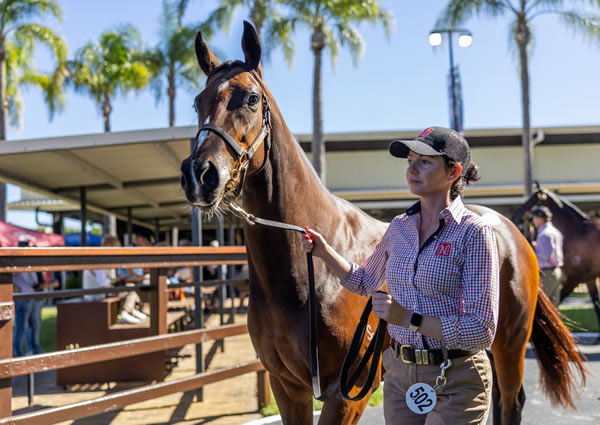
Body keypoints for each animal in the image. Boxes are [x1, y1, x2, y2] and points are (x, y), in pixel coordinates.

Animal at [179, 22, 584, 424]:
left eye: (250, 98)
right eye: (197, 102)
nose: (200, 174)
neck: (307, 275)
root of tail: (512, 232)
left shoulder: (349, 391)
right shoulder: (287, 387)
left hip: (509, 344)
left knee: (510, 401)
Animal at [508, 184, 600, 332]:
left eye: (532, 200)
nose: (514, 216)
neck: (576, 231)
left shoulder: (574, 278)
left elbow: (557, 303)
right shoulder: (589, 279)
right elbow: (597, 305)